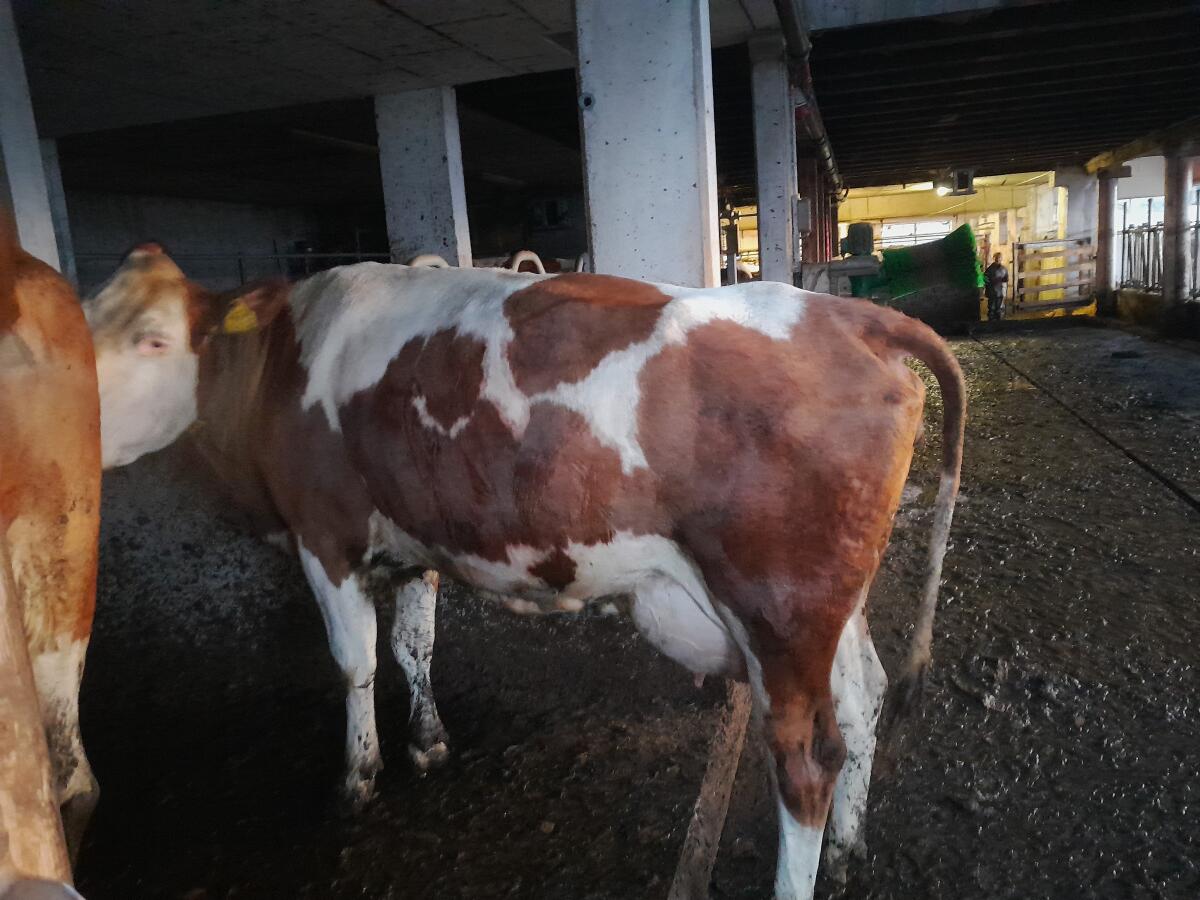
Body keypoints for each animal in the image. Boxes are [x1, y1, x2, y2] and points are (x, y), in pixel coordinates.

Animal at [85, 246, 963, 899]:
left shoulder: (322, 532)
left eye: (152, 339)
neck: (280, 362)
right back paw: (845, 853)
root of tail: (850, 315)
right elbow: (412, 645)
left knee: (806, 763)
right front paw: (429, 741)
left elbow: (353, 661)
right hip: (825, 604)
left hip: (774, 606)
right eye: (84, 318)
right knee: (864, 697)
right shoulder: (413, 543)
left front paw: (358, 776)